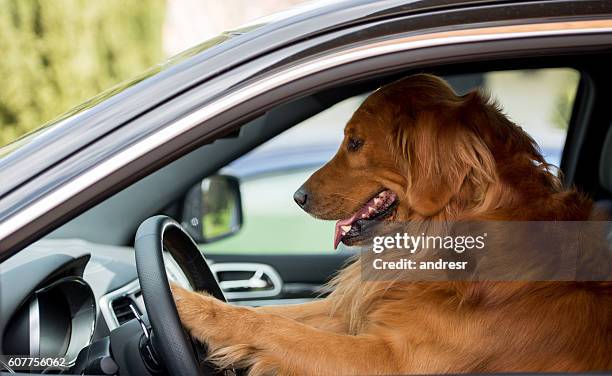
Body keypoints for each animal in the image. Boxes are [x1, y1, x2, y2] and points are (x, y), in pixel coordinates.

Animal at [170, 74, 608, 376]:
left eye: (355, 143)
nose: (298, 196)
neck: (443, 233)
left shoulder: (391, 360)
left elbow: (273, 327)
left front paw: (179, 301)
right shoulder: (359, 311)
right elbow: (269, 313)